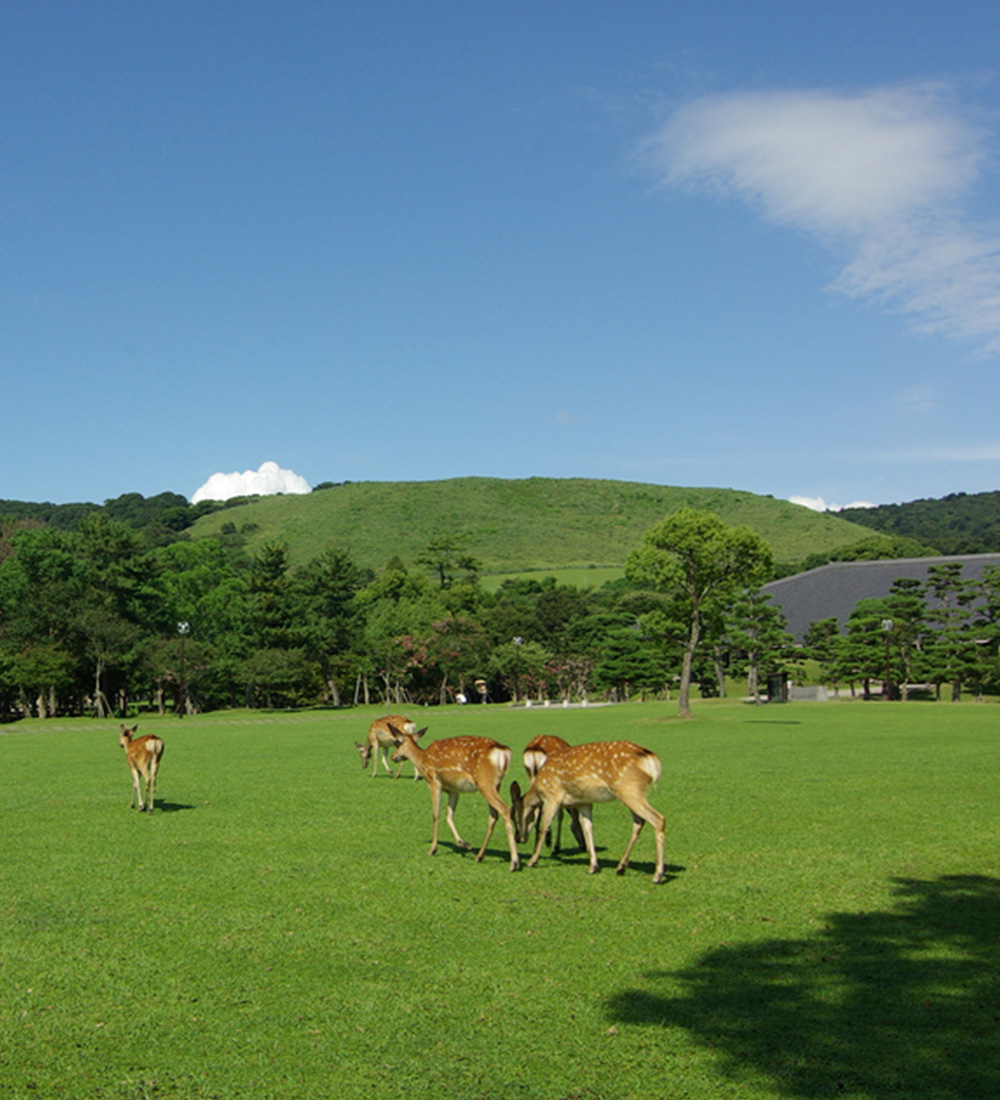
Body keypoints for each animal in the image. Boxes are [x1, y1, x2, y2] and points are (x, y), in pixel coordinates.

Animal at [387, 726, 519, 871]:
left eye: (396, 742)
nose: (393, 757)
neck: (422, 760)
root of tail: (504, 752)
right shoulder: (453, 790)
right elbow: (449, 815)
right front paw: (463, 843)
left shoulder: (434, 781)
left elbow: (435, 814)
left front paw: (432, 849)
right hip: (495, 784)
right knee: (494, 815)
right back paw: (480, 856)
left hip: (485, 781)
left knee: (505, 809)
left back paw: (514, 862)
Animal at [510, 739, 668, 884]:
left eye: (514, 816)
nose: (518, 838)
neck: (539, 789)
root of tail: (651, 759)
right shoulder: (584, 802)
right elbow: (587, 827)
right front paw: (593, 866)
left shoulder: (552, 796)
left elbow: (544, 827)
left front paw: (532, 860)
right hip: (629, 792)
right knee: (639, 821)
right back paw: (621, 867)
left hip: (629, 788)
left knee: (658, 819)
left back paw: (657, 875)